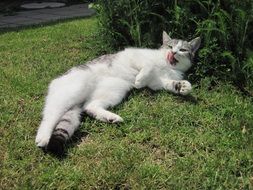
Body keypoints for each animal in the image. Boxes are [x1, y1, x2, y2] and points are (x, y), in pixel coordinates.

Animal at [36, 31, 202, 153]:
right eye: (169, 46)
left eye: (182, 49)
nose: (173, 52)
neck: (166, 66)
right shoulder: (136, 56)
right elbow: (148, 65)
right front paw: (139, 80)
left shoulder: (156, 82)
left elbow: (168, 83)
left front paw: (183, 87)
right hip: (71, 92)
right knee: (49, 116)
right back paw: (43, 137)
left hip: (113, 91)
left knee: (90, 107)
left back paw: (111, 118)